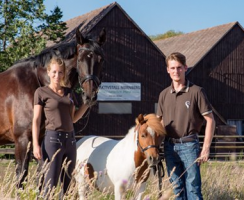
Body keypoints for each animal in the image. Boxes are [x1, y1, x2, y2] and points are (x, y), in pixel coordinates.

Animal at [0, 27, 106, 186]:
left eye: (101, 60)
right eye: (81, 59)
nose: (90, 96)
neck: (35, 83)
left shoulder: (40, 141)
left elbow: (41, 177)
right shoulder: (22, 140)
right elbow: (21, 178)